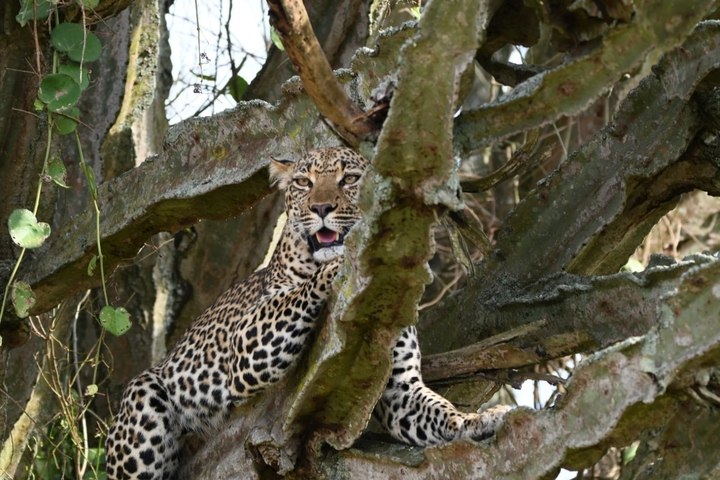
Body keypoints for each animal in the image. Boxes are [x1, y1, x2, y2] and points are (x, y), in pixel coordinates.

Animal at [105, 147, 510, 479]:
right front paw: (346, 261)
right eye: (304, 182)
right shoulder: (246, 343)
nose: (322, 208)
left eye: (349, 179)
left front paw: (479, 421)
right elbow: (300, 292)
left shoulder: (400, 390)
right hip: (144, 399)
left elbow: (440, 410)